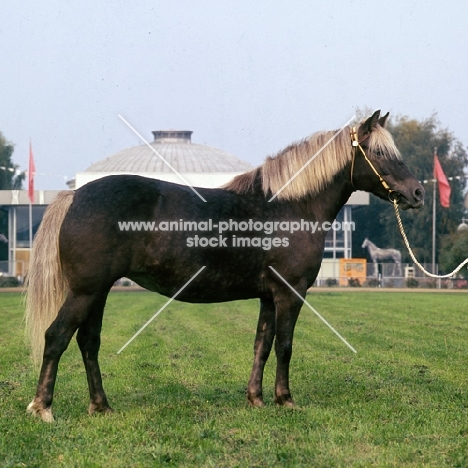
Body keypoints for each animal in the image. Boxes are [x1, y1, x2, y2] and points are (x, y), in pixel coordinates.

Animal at [24, 109, 424, 420]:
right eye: (379, 151)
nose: (417, 193)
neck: (290, 206)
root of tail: (75, 194)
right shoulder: (290, 293)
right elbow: (285, 345)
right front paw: (285, 400)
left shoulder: (268, 296)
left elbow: (262, 345)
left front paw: (256, 399)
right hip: (85, 291)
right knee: (57, 337)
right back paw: (43, 407)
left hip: (98, 292)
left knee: (88, 342)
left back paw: (101, 406)